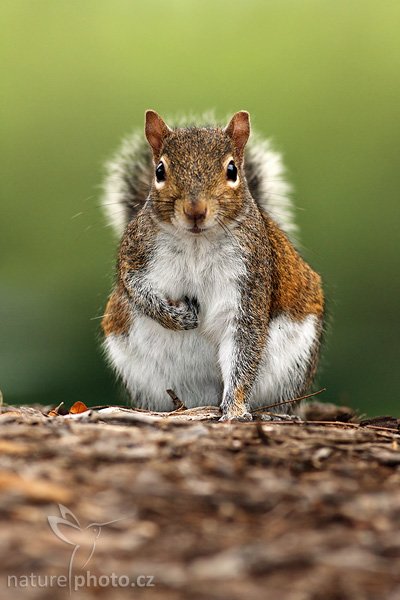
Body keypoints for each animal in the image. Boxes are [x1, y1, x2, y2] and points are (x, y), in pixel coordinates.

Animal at [101, 110, 324, 420]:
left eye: (232, 170)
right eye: (159, 171)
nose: (195, 210)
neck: (197, 242)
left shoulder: (250, 281)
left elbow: (244, 351)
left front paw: (235, 410)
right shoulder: (135, 253)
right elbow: (135, 288)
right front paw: (178, 317)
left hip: (293, 363)